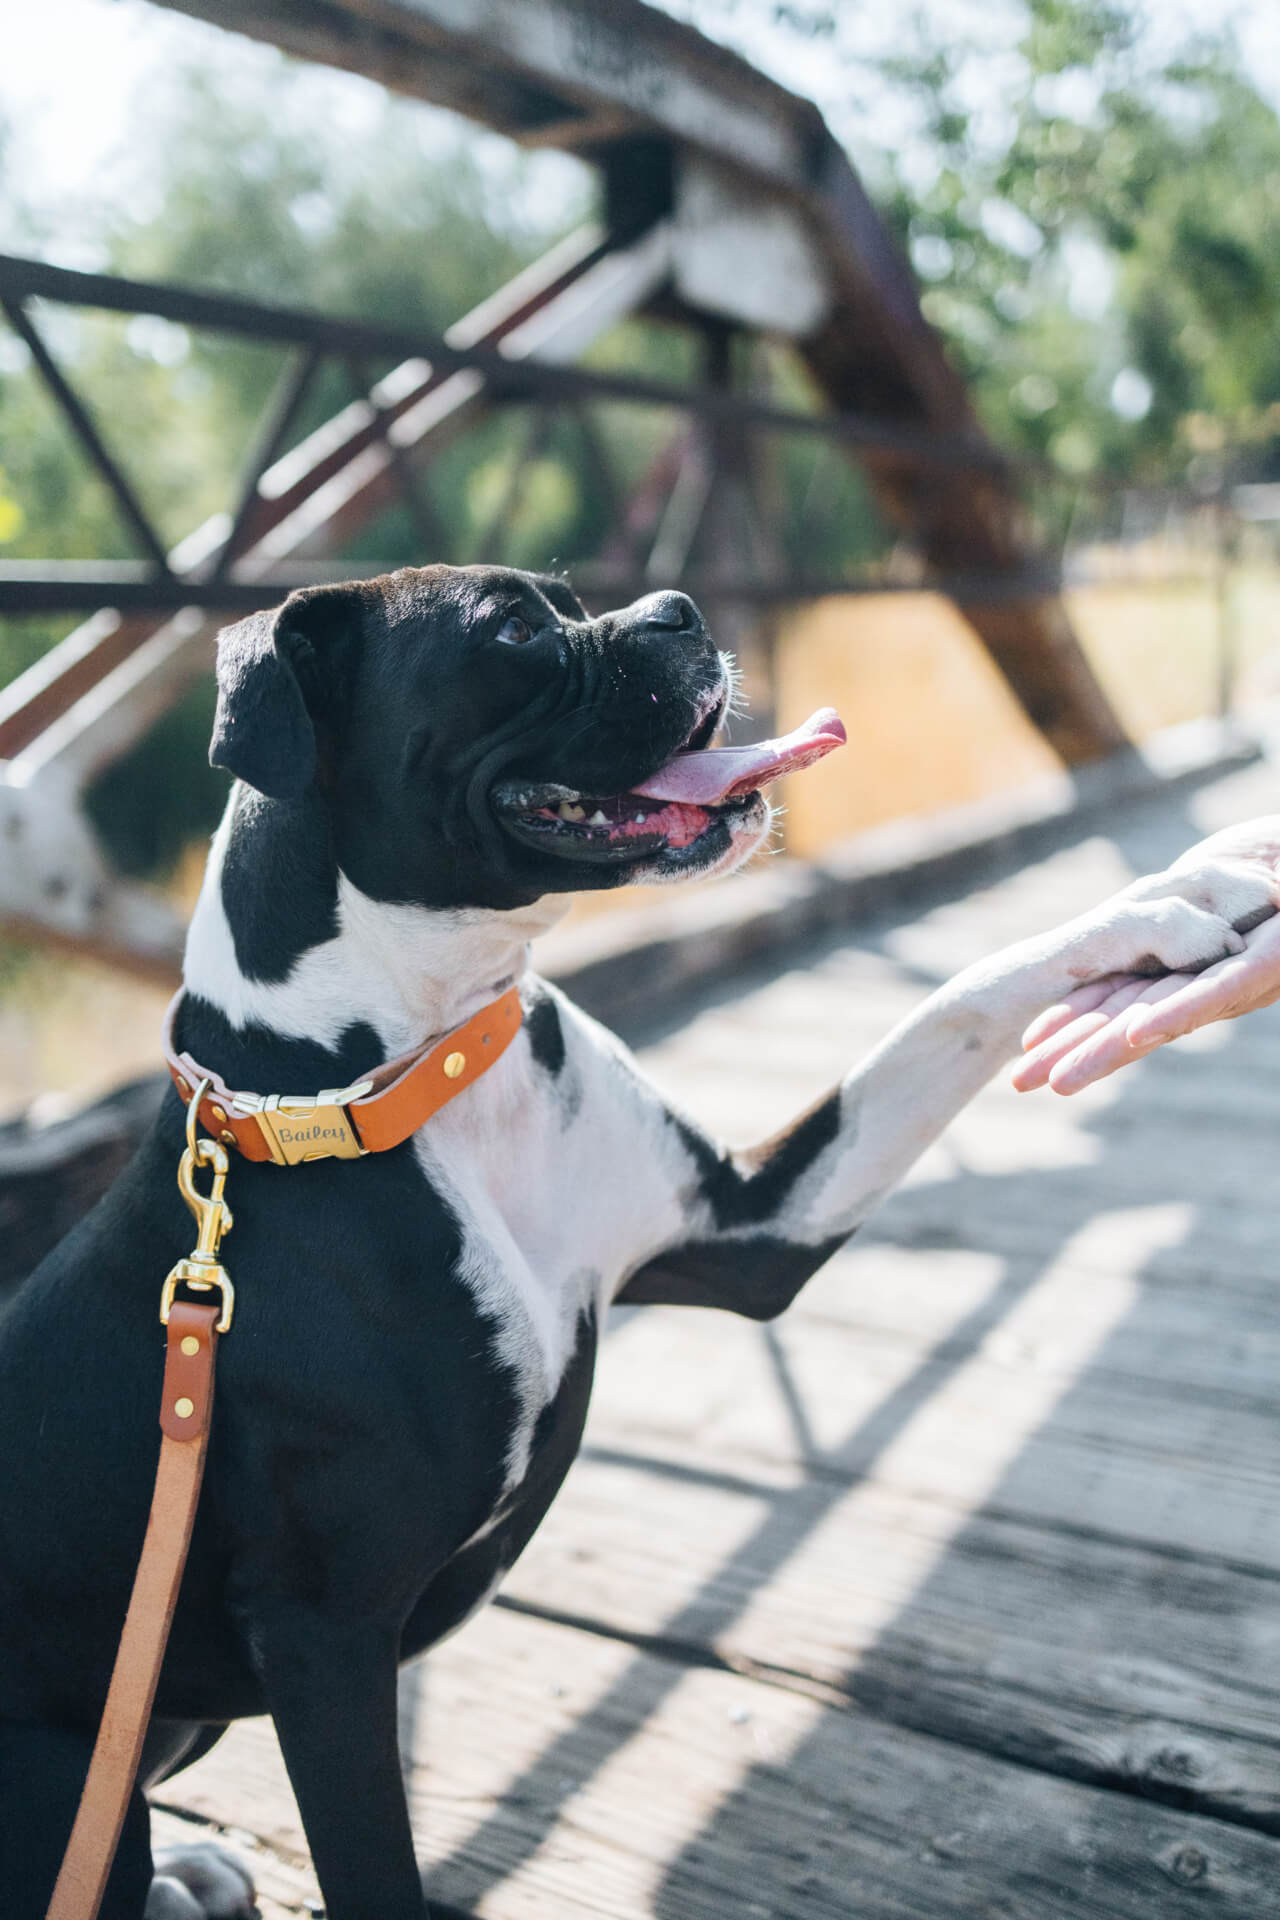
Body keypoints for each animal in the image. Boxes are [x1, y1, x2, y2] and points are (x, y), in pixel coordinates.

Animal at [0, 560, 1274, 1912]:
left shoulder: (756, 1225)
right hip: (72, 1769)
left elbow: (962, 997)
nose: (675, 607)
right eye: (510, 627)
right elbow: (375, 1868)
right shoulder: (324, 1638)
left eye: (564, 598)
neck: (421, 1068)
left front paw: (1172, 896)